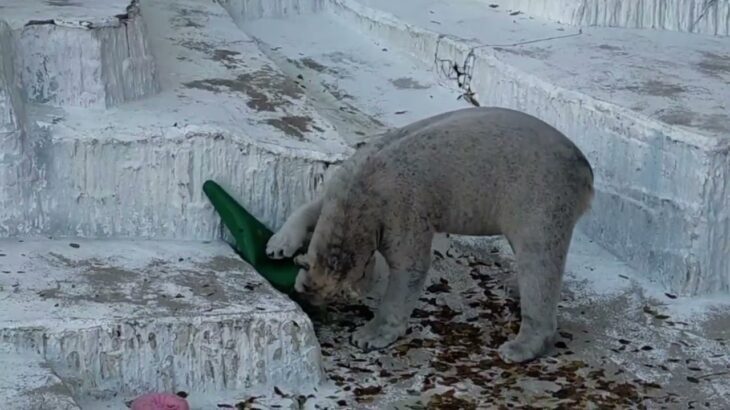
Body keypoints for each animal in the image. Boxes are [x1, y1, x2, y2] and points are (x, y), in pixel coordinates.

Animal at [264, 105, 592, 362]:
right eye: (303, 286)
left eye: (329, 296)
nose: (303, 297)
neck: (362, 194)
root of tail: (585, 169)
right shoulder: (346, 177)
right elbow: (315, 205)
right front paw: (279, 244)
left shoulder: (401, 208)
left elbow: (409, 266)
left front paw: (369, 334)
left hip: (541, 193)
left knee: (538, 261)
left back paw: (520, 345)